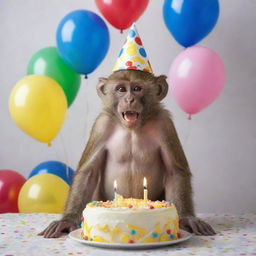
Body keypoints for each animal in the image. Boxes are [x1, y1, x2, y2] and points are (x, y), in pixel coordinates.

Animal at [39, 69, 215, 238]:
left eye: (137, 89)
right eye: (121, 89)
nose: (129, 100)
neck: (133, 128)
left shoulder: (164, 123)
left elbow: (175, 171)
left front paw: (187, 218)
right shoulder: (102, 124)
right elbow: (88, 173)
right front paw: (67, 220)